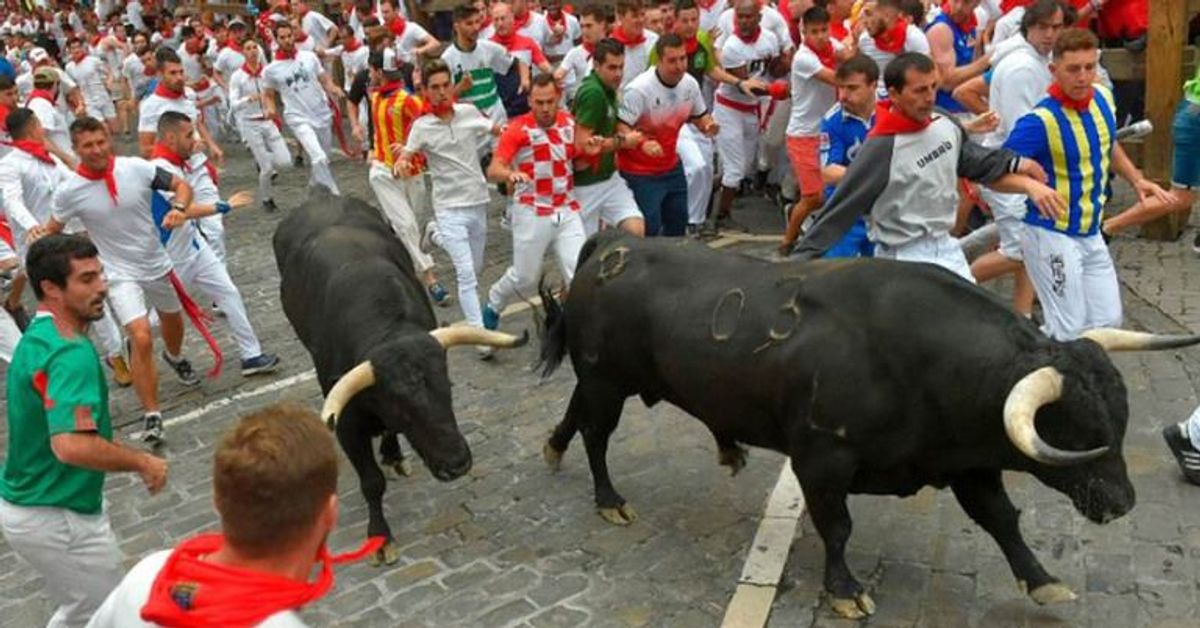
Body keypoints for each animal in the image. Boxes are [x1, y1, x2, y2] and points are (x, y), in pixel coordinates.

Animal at [278, 195, 528, 564]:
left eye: (448, 389)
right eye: (402, 406)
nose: (457, 464)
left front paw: (393, 454)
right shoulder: (347, 424)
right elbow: (371, 481)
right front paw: (380, 537)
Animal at [542, 231, 1200, 619]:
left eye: (1121, 417)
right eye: (1071, 429)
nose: (1121, 502)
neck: (919, 358)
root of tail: (612, 246)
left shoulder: (968, 462)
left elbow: (1002, 521)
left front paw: (1041, 580)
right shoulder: (821, 459)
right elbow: (837, 527)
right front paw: (844, 591)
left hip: (598, 380)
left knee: (573, 414)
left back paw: (553, 451)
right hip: (607, 381)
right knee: (597, 435)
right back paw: (609, 500)